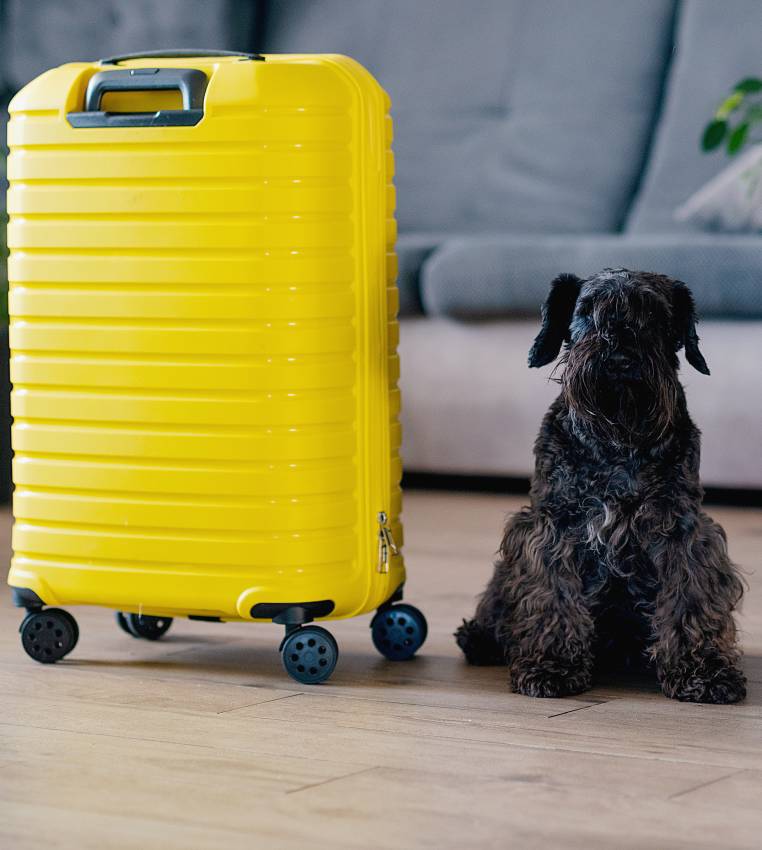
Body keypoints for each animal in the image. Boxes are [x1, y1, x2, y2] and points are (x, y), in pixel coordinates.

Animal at [454, 266, 744, 704]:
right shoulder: (553, 527)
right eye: (586, 310)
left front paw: (704, 671)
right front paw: (552, 665)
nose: (620, 358)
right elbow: (554, 594)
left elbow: (689, 597)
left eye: (654, 313)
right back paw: (479, 639)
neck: (619, 441)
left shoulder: (683, 531)